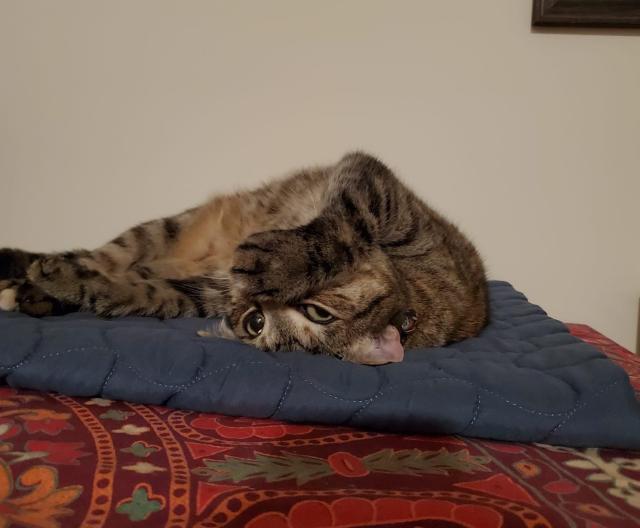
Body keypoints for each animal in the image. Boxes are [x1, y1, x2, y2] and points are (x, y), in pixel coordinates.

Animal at [0, 152, 484, 364]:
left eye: (255, 324)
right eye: (318, 312)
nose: (256, 305)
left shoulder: (204, 293)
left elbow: (139, 292)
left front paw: (70, 284)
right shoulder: (379, 191)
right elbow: (340, 226)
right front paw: (279, 260)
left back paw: (34, 292)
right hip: (157, 230)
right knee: (96, 253)